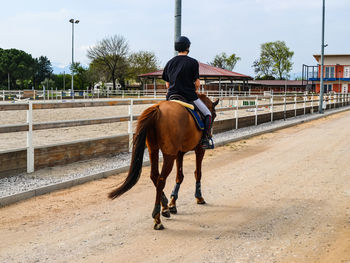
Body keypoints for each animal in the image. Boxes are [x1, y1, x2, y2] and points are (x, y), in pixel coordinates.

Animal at [109, 94, 219, 230]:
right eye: (214, 114)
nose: (209, 134)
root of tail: (158, 108)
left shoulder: (179, 153)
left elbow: (179, 177)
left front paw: (172, 203)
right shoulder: (199, 150)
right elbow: (197, 173)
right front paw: (199, 197)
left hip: (153, 150)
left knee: (154, 176)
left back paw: (165, 206)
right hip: (169, 156)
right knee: (161, 180)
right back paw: (157, 217)